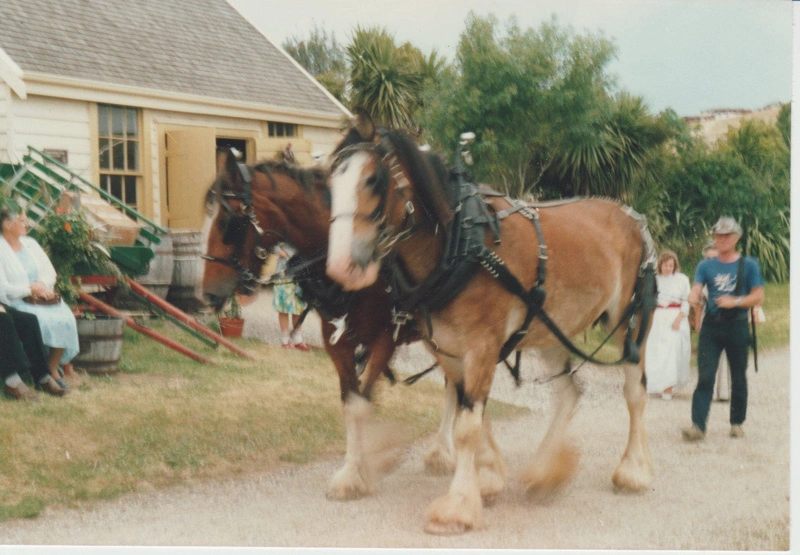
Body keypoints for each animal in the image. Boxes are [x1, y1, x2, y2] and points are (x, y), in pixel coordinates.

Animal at [203, 150, 446, 502]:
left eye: (228, 221)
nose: (208, 293)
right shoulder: (338, 341)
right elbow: (351, 404)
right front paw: (356, 469)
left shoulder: (385, 339)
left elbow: (362, 404)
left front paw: (361, 472)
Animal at [324, 112, 656, 536]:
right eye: (331, 181)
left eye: (372, 180)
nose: (340, 267)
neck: (461, 242)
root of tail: (629, 216)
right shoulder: (449, 350)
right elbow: (470, 413)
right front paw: (488, 478)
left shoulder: (481, 346)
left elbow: (468, 425)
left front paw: (458, 507)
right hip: (551, 328)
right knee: (568, 394)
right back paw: (545, 472)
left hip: (631, 321)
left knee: (634, 392)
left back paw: (633, 470)